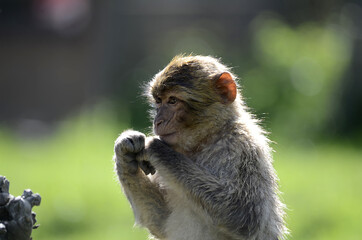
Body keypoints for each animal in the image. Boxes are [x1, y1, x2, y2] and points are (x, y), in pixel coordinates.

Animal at [114, 54, 288, 240]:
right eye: (159, 101)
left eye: (172, 100)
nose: (158, 121)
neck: (205, 140)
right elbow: (160, 223)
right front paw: (125, 149)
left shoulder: (244, 148)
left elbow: (244, 216)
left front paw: (154, 147)